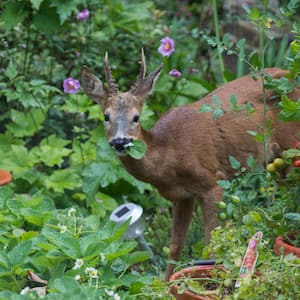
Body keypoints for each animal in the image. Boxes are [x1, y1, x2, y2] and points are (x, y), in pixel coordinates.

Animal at [80, 48, 300, 278]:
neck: (170, 154)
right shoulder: (181, 196)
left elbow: (210, 243)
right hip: (276, 162)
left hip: (290, 145)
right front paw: (167, 283)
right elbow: (175, 246)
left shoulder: (212, 183)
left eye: (136, 117)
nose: (120, 142)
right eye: (106, 116)